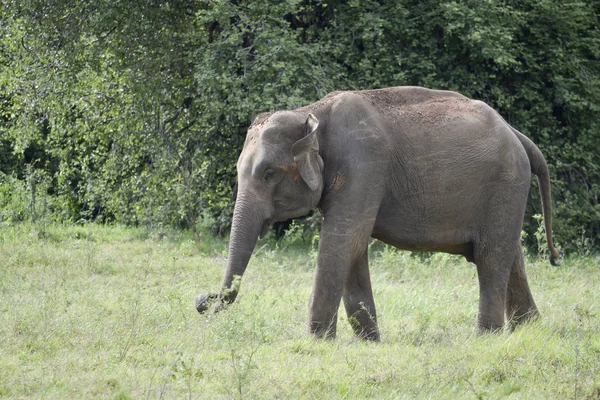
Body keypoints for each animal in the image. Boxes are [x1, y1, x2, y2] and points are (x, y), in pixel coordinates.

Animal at [197, 85, 564, 340]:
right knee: (509, 254)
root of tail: (516, 133)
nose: (202, 300)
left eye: (269, 174)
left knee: (490, 257)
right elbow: (353, 246)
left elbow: (342, 240)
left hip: (505, 184)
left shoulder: (363, 164)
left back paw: (486, 338)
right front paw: (369, 342)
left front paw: (317, 342)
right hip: (506, 192)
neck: (312, 113)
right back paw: (530, 330)